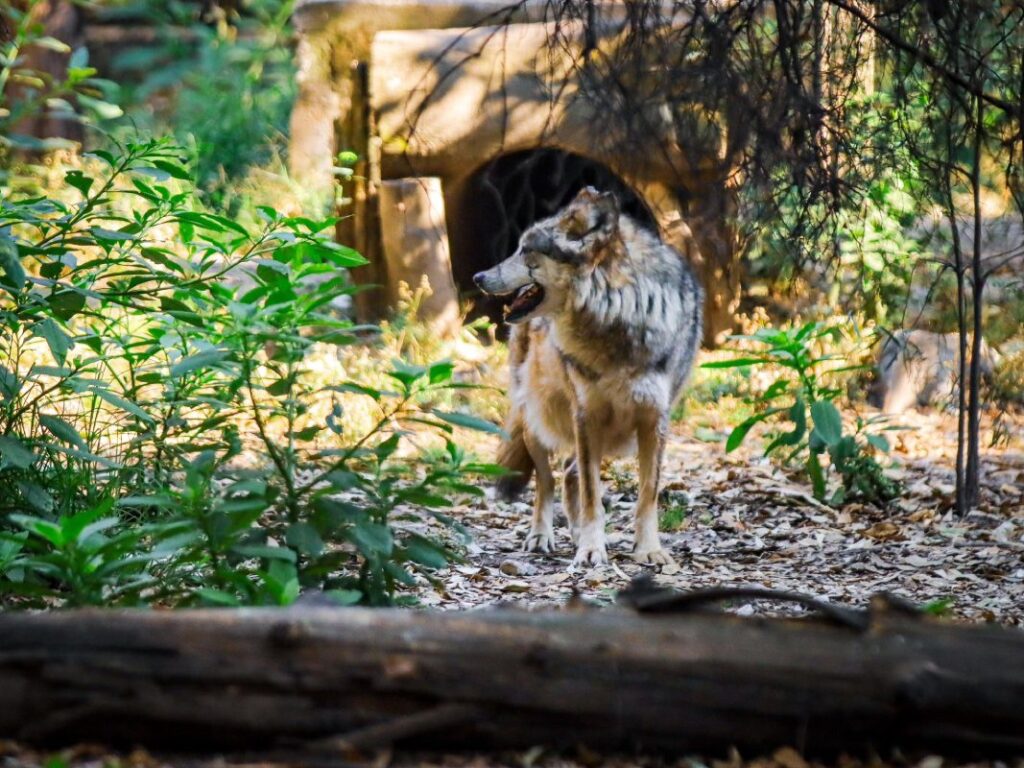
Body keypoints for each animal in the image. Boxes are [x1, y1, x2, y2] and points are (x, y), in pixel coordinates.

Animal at [473, 187, 703, 567]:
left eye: (525, 250)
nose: (477, 277)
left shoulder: (654, 420)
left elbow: (647, 495)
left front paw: (649, 549)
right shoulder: (586, 416)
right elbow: (592, 494)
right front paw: (592, 551)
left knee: (570, 474)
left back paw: (577, 532)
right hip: (539, 418)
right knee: (547, 481)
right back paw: (542, 536)